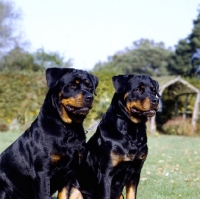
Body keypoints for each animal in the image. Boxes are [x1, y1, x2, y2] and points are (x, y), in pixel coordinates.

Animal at [0, 68, 97, 199]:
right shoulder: (42, 173)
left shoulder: (70, 174)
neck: (69, 129)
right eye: (72, 85)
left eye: (90, 87)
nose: (89, 97)